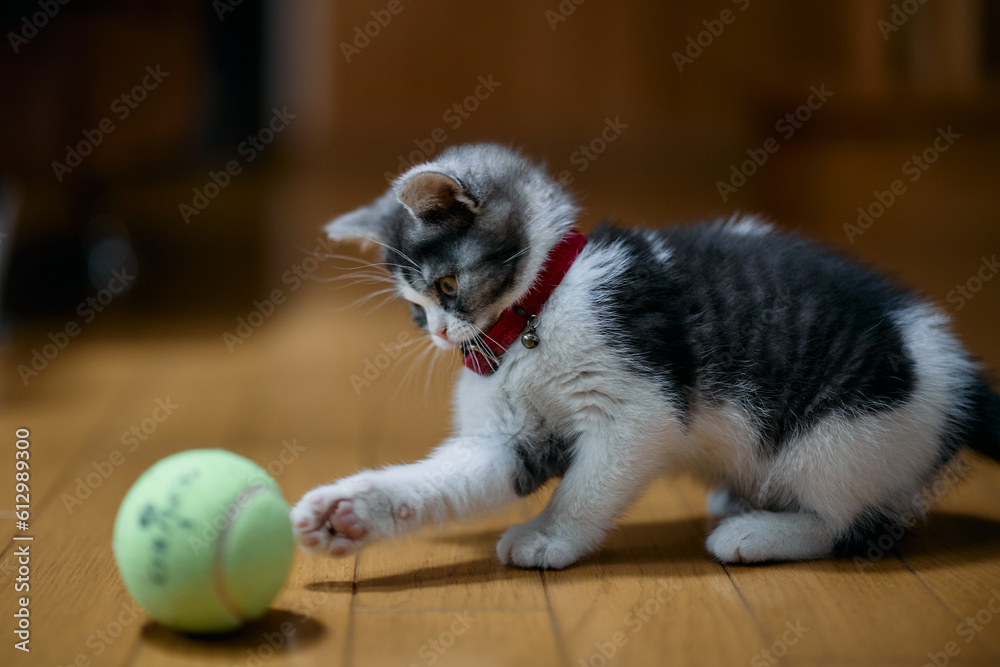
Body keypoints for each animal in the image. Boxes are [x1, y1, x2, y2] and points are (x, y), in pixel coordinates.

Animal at [290, 144, 1000, 568]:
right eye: (413, 308)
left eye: (444, 287)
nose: (439, 334)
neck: (534, 315)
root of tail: (958, 368)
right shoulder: (507, 435)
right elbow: (457, 476)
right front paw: (349, 513)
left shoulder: (638, 406)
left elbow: (591, 481)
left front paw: (551, 535)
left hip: (846, 433)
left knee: (844, 519)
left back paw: (759, 533)